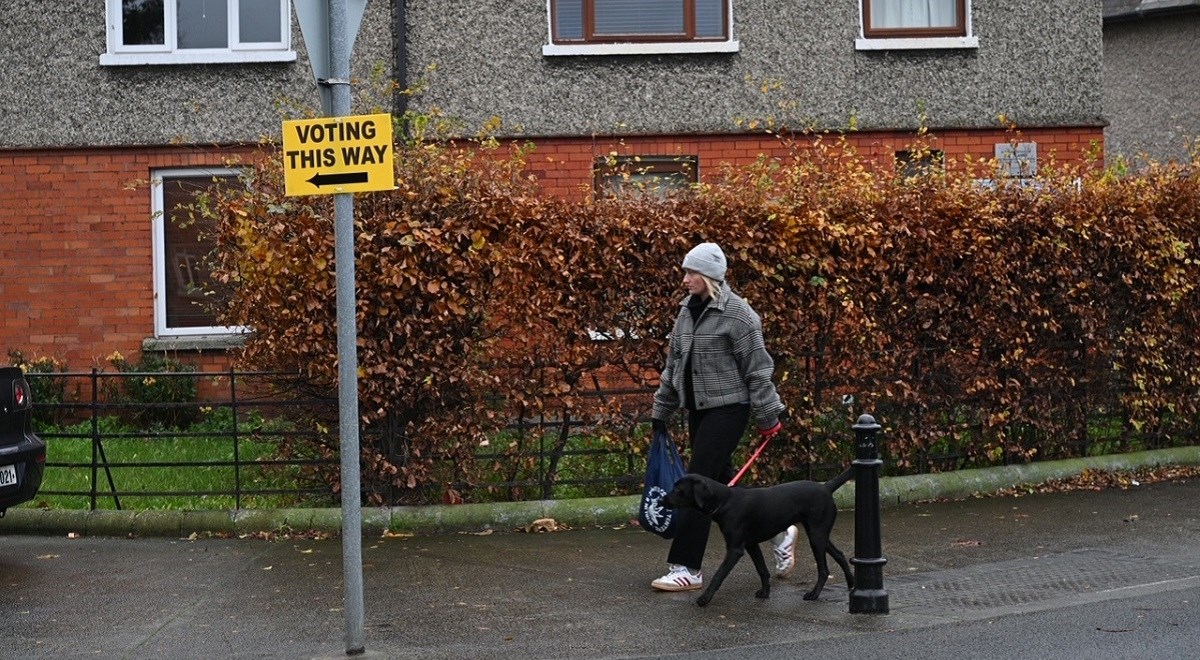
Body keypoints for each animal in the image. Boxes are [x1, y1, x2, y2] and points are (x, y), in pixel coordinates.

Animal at [667, 470, 854, 609]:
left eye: (678, 489)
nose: (663, 498)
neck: (725, 501)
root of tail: (826, 487)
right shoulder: (751, 544)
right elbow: (762, 569)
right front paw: (765, 592)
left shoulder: (735, 550)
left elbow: (718, 575)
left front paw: (705, 598)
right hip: (819, 535)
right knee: (840, 554)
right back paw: (851, 583)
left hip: (816, 537)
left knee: (824, 570)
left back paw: (814, 594)